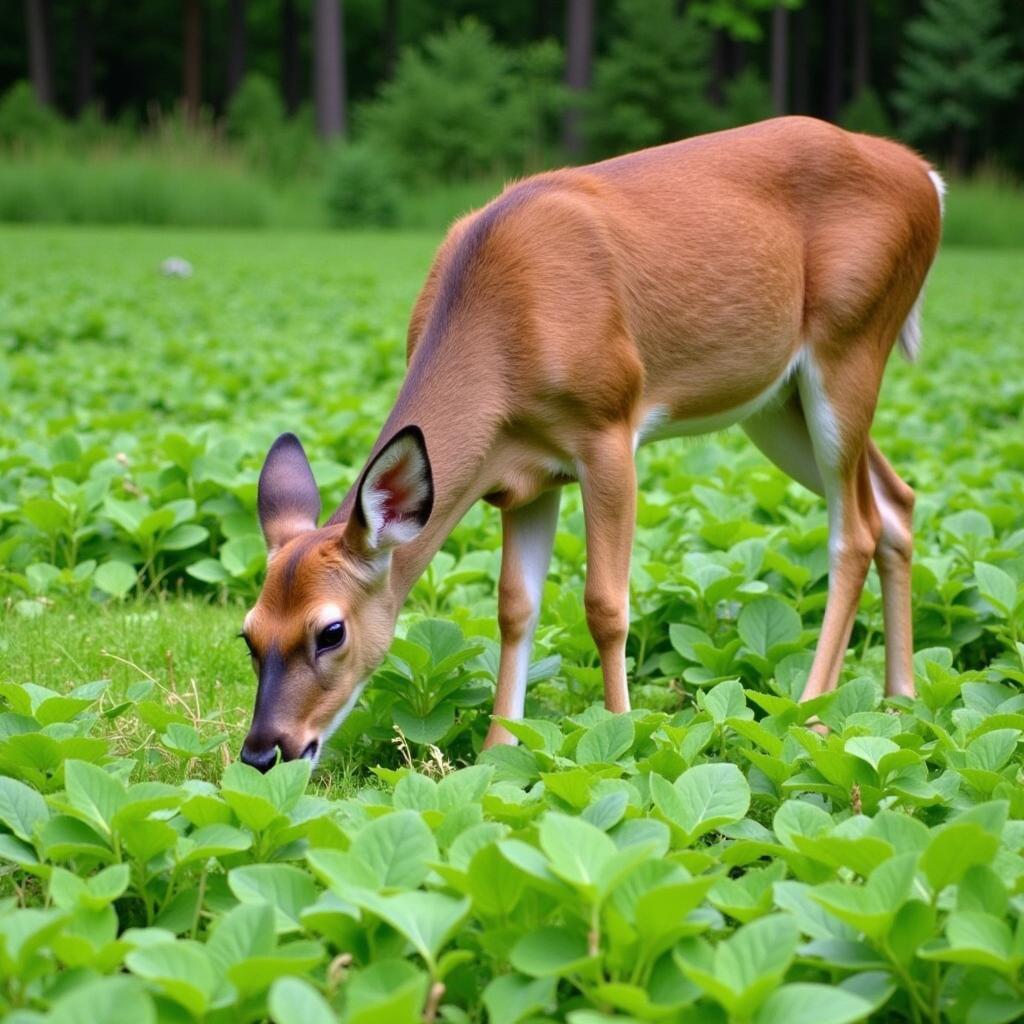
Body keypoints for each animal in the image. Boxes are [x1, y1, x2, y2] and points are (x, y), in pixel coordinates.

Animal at [237, 116, 942, 770]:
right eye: (248, 634)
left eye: (331, 630)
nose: (264, 752)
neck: (507, 330)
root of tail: (926, 177)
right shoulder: (520, 475)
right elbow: (514, 607)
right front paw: (499, 751)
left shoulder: (609, 429)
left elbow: (605, 604)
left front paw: (622, 738)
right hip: (774, 402)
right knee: (895, 499)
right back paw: (900, 696)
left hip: (851, 341)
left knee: (855, 527)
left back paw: (812, 716)